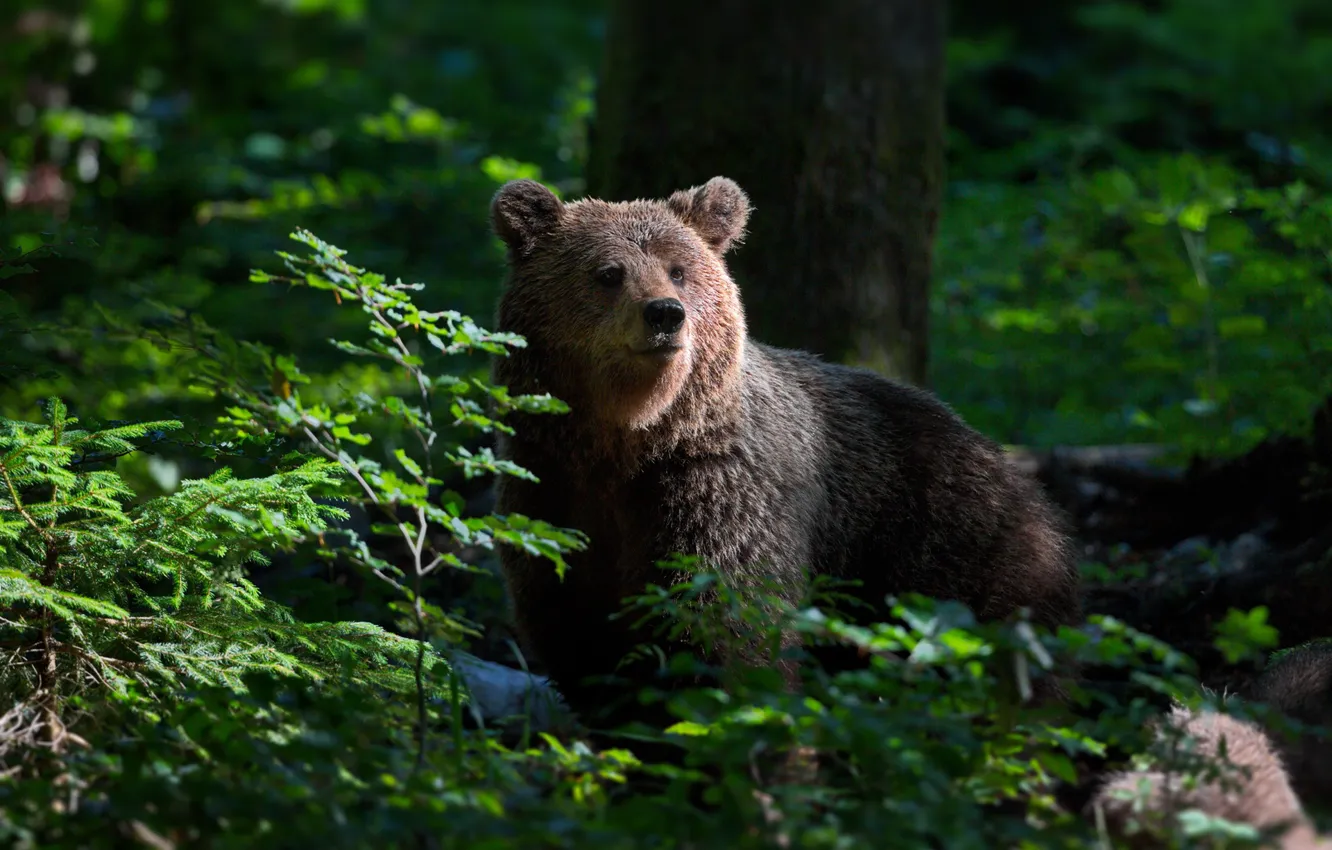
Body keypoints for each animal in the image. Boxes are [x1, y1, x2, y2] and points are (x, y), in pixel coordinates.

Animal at [486, 175, 1083, 729]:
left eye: (679, 269)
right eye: (609, 272)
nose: (665, 314)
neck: (631, 439)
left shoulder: (720, 492)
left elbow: (727, 621)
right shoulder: (551, 489)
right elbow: (575, 631)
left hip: (949, 545)